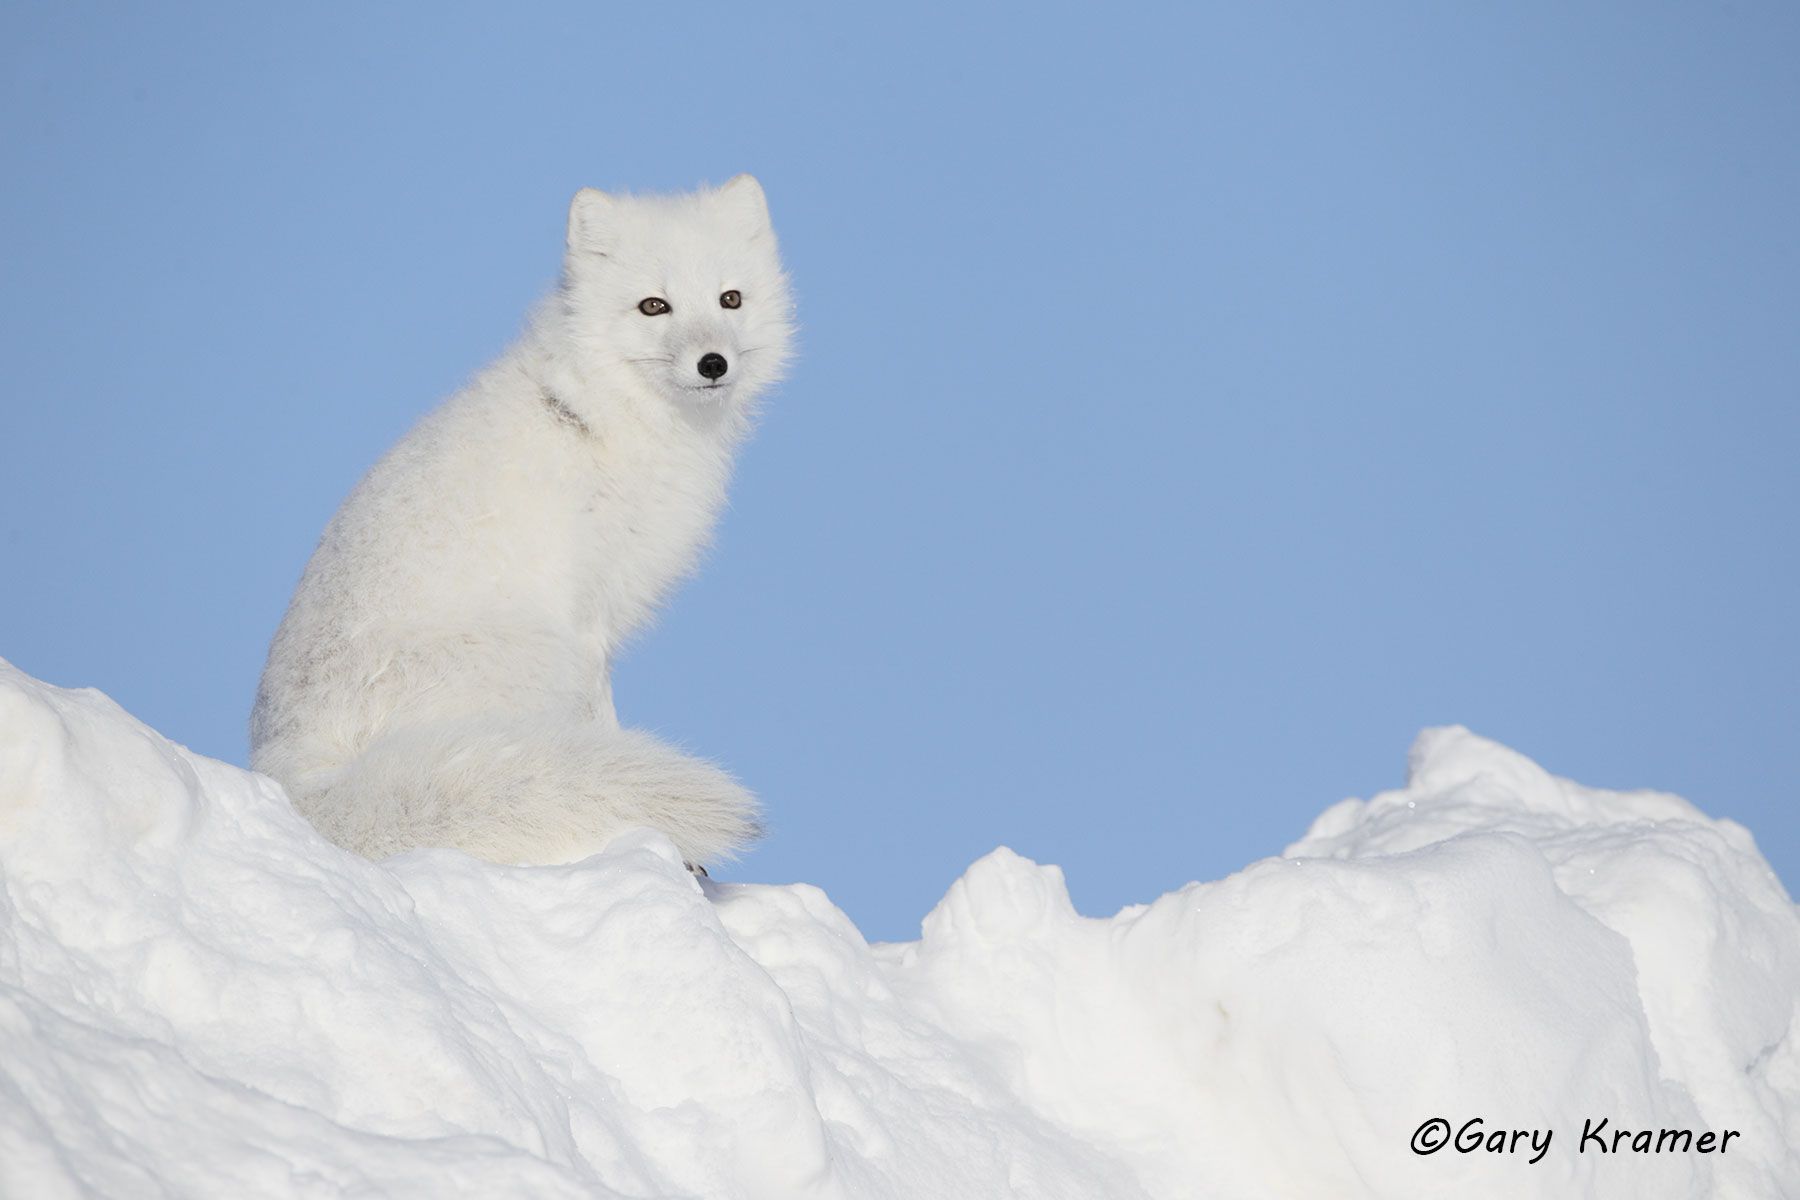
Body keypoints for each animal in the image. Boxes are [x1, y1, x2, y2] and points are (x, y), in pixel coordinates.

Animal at [250, 176, 793, 870]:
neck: (603, 413)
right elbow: (604, 723)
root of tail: (295, 781)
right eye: (654, 306)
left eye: (730, 298)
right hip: (536, 659)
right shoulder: (587, 625)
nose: (713, 363)